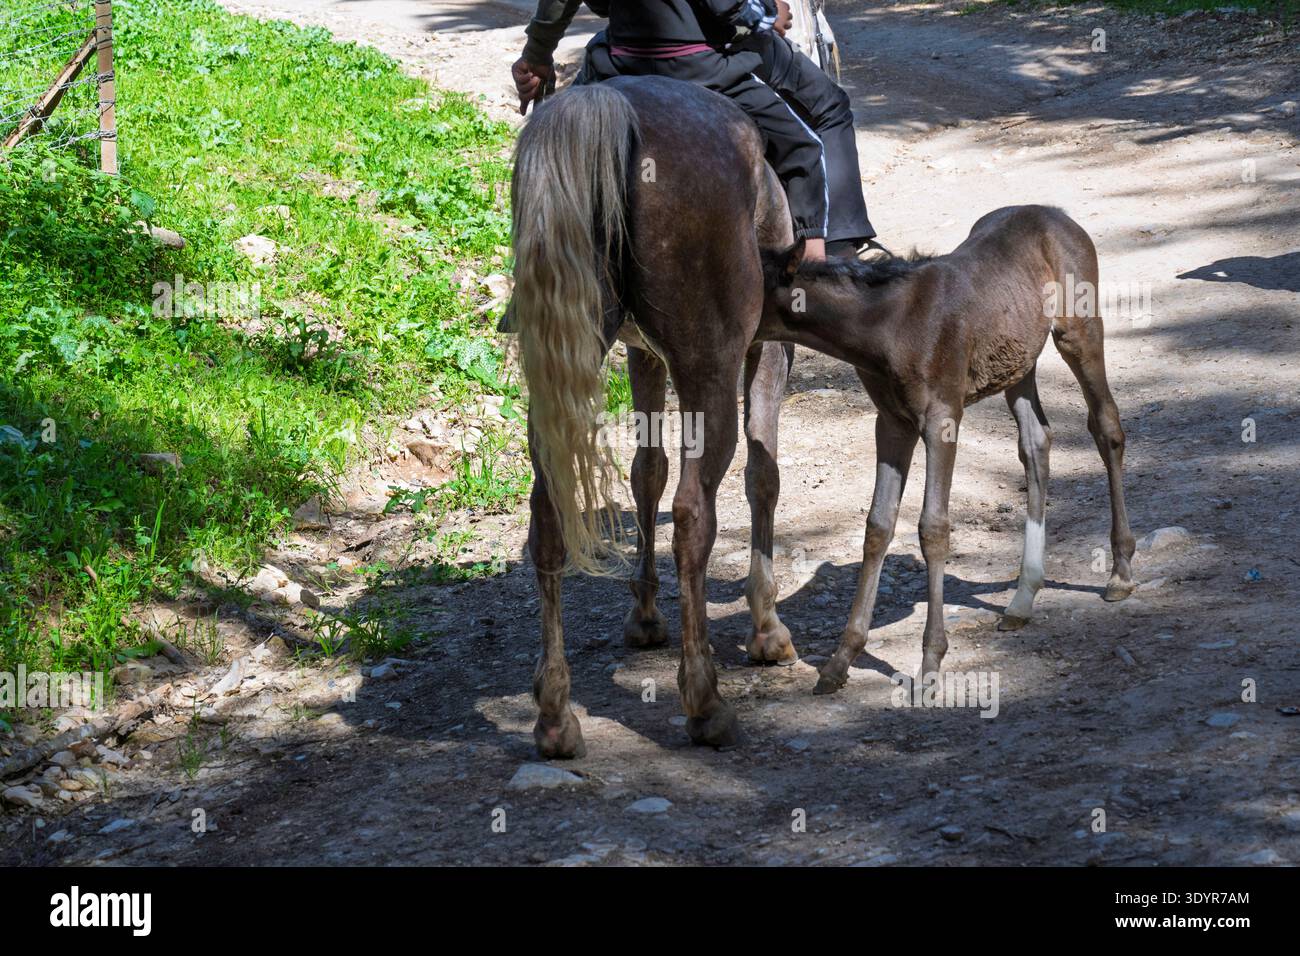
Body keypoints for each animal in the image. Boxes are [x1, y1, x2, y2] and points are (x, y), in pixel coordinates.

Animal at [510, 76, 1135, 758]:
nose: (743, 315)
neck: (897, 318)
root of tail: (1055, 215)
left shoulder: (939, 415)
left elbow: (930, 526)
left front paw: (926, 663)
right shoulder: (893, 421)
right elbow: (878, 526)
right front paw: (840, 661)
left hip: (1077, 334)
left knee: (1105, 427)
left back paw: (1119, 571)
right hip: (1014, 368)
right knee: (1037, 443)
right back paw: (1024, 596)